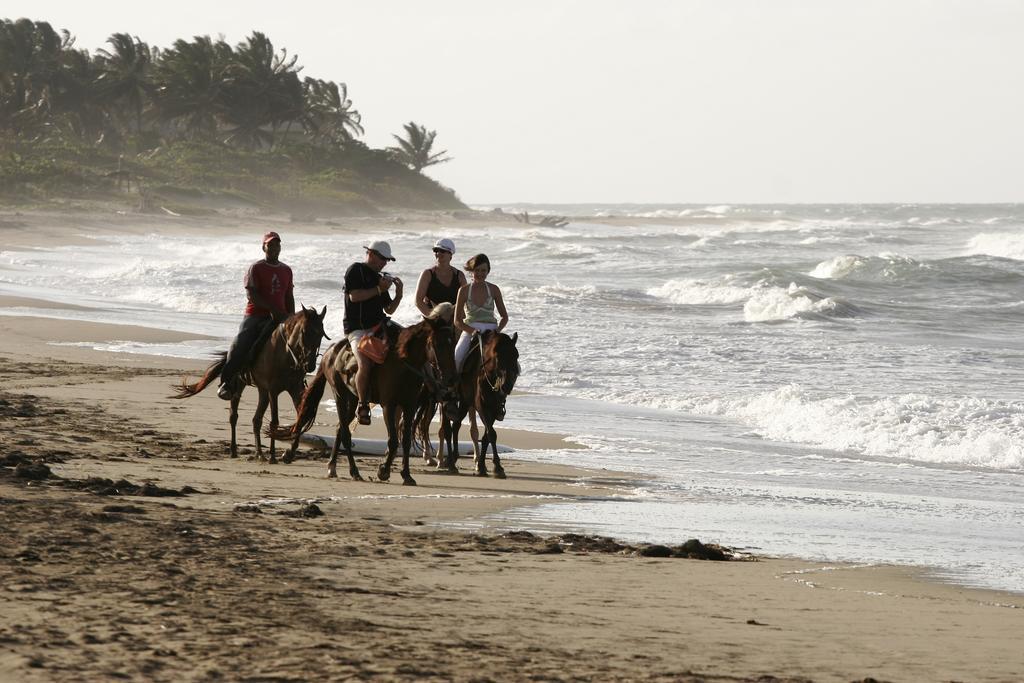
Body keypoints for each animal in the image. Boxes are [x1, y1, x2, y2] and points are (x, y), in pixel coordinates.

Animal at [167, 305, 327, 462]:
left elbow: (301, 418)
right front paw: (273, 456)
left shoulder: (295, 389)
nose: (310, 365)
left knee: (256, 420)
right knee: (233, 416)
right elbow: (274, 421)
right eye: (305, 332)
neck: (286, 354)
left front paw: (289, 454)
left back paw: (259, 453)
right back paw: (234, 451)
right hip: (238, 386)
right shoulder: (273, 390)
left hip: (262, 391)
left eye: (321, 334)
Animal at [274, 313, 462, 483]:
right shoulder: (388, 405)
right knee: (345, 433)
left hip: (353, 400)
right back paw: (354, 471)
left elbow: (406, 441)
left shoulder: (409, 406)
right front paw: (383, 471)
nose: (452, 379)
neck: (403, 363)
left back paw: (332, 466)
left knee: (340, 429)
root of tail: (330, 351)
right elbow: (393, 441)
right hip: (340, 395)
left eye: (453, 343)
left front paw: (406, 475)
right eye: (437, 344)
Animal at [450, 331, 524, 481]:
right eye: (498, 357)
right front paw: (498, 467)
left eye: (516, 355)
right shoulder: (482, 406)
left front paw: (482, 466)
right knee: (455, 425)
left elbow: (486, 437)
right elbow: (492, 434)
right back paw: (452, 461)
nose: (507, 385)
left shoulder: (494, 408)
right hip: (464, 401)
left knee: (456, 424)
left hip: (466, 403)